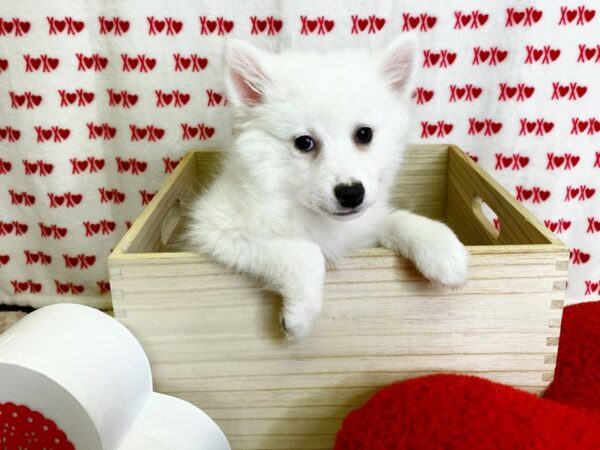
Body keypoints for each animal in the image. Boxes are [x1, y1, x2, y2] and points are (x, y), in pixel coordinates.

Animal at [188, 36, 468, 342]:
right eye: (304, 142)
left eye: (364, 134)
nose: (351, 194)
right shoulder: (217, 230)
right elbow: (308, 252)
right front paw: (299, 316)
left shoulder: (362, 229)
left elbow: (395, 218)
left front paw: (443, 249)